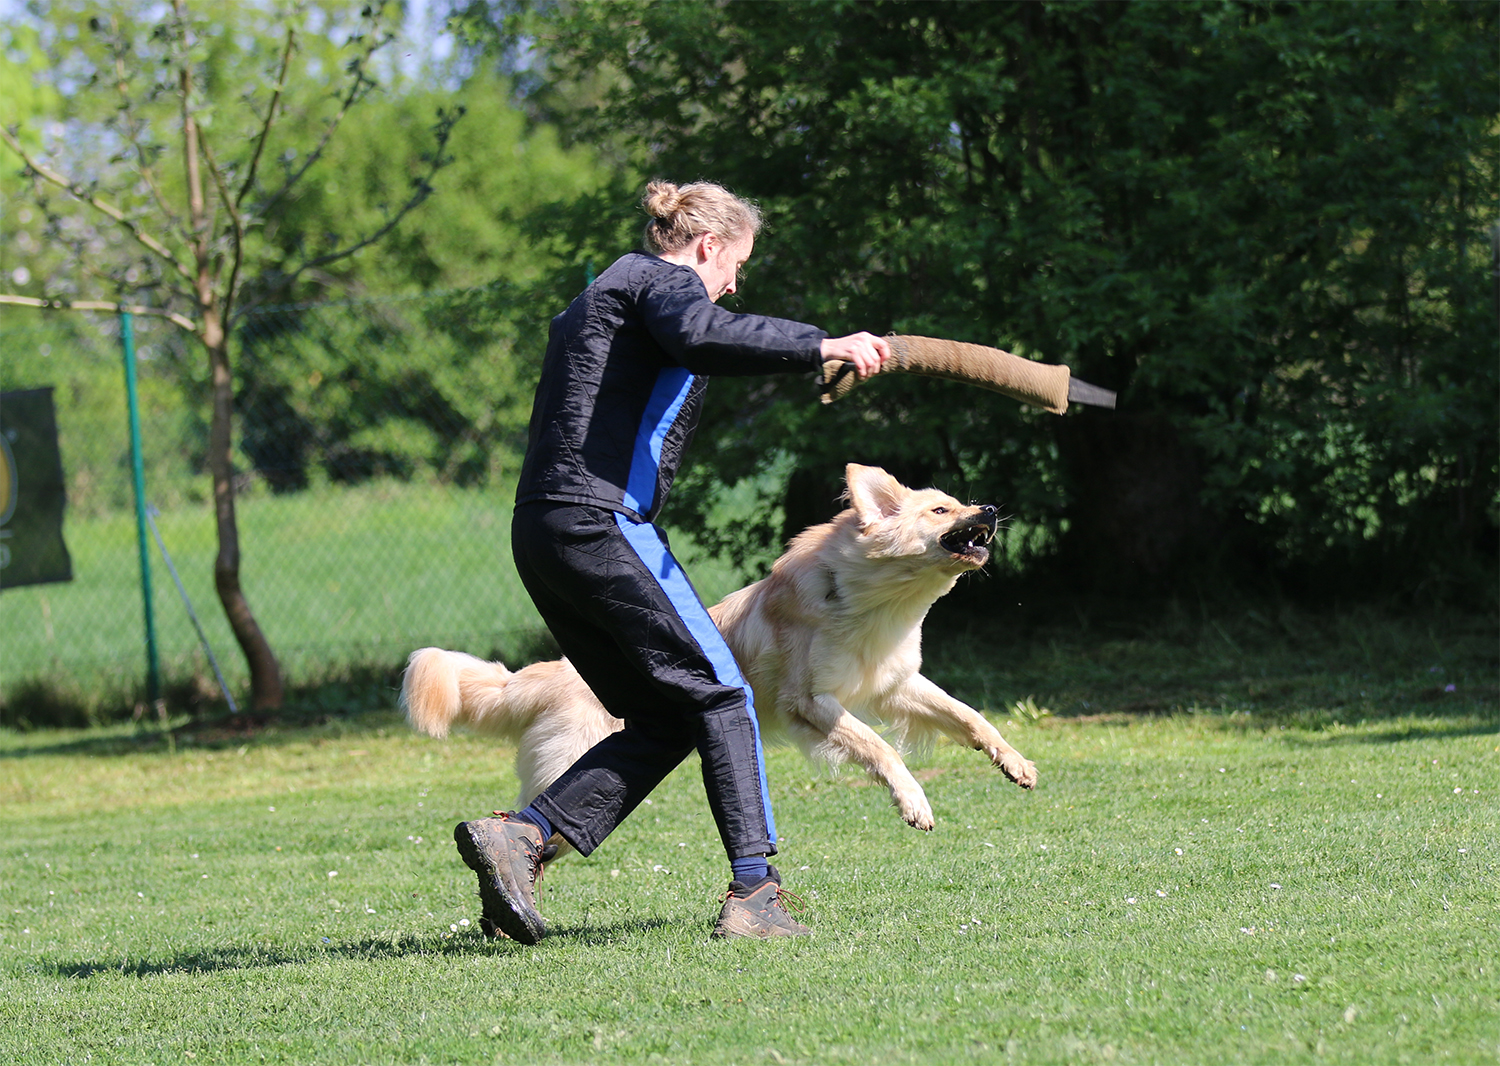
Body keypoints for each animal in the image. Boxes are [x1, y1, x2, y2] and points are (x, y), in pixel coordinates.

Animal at [401, 463, 1037, 842]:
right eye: (941, 511)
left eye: (959, 503)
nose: (991, 510)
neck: (872, 599)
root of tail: (552, 675)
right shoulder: (814, 703)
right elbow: (880, 748)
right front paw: (913, 802)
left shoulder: (895, 685)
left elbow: (968, 715)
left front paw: (1013, 762)